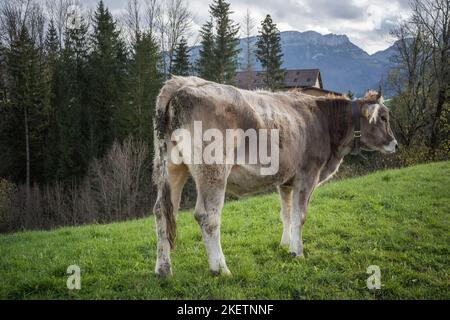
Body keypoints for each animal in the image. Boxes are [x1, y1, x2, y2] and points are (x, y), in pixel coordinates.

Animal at [152, 76, 398, 276]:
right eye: (383, 117)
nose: (395, 144)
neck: (323, 121)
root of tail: (182, 84)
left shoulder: (286, 181)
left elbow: (286, 214)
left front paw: (285, 245)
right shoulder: (307, 175)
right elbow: (300, 216)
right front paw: (298, 252)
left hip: (172, 166)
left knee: (162, 211)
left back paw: (163, 269)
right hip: (213, 170)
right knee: (207, 217)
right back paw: (220, 269)